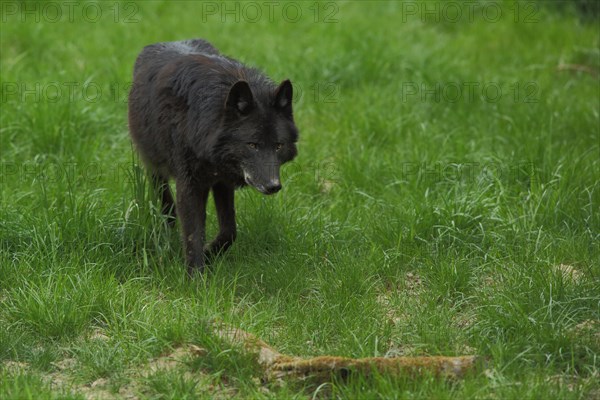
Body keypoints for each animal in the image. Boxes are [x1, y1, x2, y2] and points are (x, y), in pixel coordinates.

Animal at [131, 38, 300, 276]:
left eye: (278, 146)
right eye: (252, 145)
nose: (273, 186)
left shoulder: (222, 181)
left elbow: (229, 231)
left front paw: (209, 254)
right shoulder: (189, 184)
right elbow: (193, 233)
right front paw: (195, 277)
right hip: (155, 163)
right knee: (164, 195)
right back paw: (169, 223)